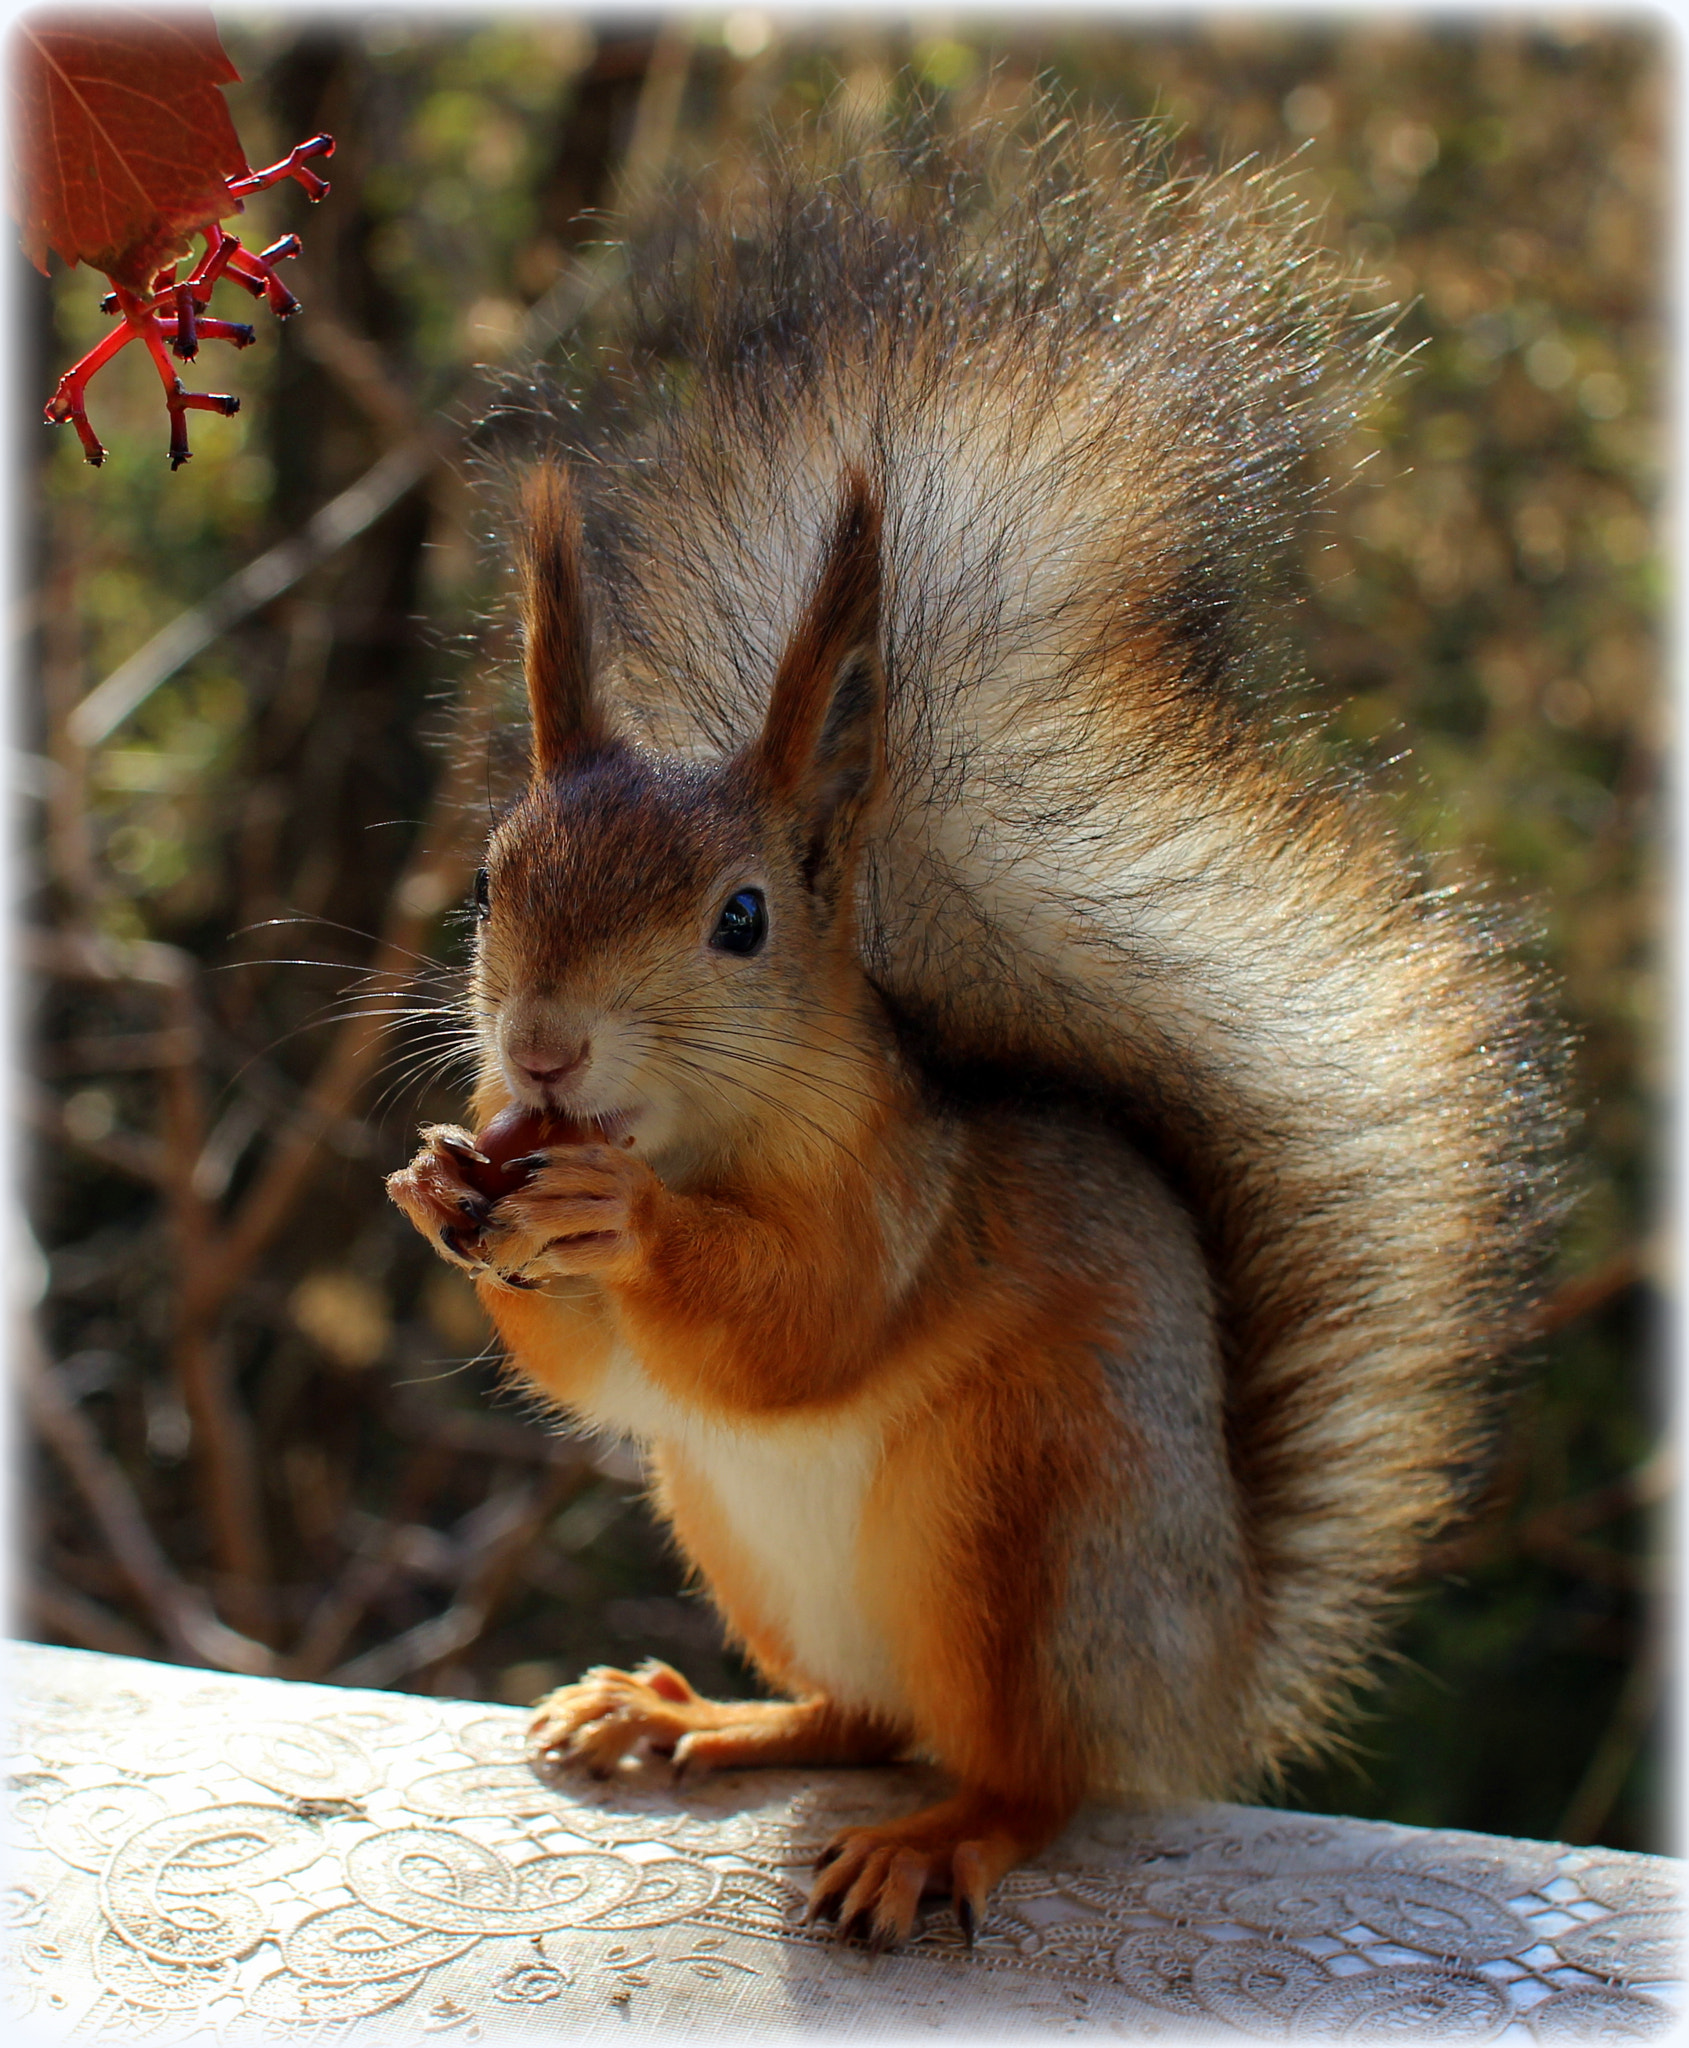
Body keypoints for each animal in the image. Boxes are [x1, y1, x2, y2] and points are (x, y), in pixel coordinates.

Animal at [384, 108, 1555, 1949]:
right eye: (496, 879)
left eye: (741, 920)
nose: (544, 1050)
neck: (702, 1135)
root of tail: (1198, 1687)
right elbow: (591, 1368)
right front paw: (440, 1185)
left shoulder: (901, 1194)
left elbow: (795, 1326)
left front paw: (617, 1218)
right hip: (740, 1532)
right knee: (860, 1715)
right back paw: (691, 1714)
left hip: (1019, 1536)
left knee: (1024, 1775)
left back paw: (936, 1836)